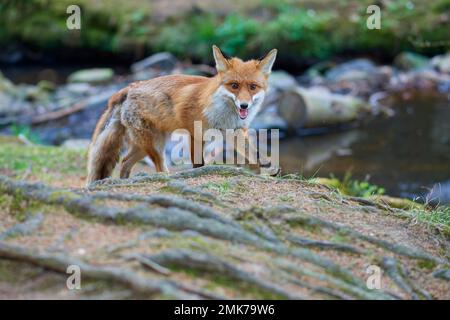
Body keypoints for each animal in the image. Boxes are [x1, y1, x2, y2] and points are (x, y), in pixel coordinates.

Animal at [85, 46, 276, 184]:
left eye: (253, 87)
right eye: (234, 85)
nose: (244, 105)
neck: (222, 114)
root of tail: (129, 87)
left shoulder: (235, 131)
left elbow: (254, 156)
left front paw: (258, 174)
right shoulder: (194, 135)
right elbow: (198, 165)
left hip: (145, 145)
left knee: (124, 162)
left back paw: (123, 181)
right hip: (155, 145)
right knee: (159, 168)